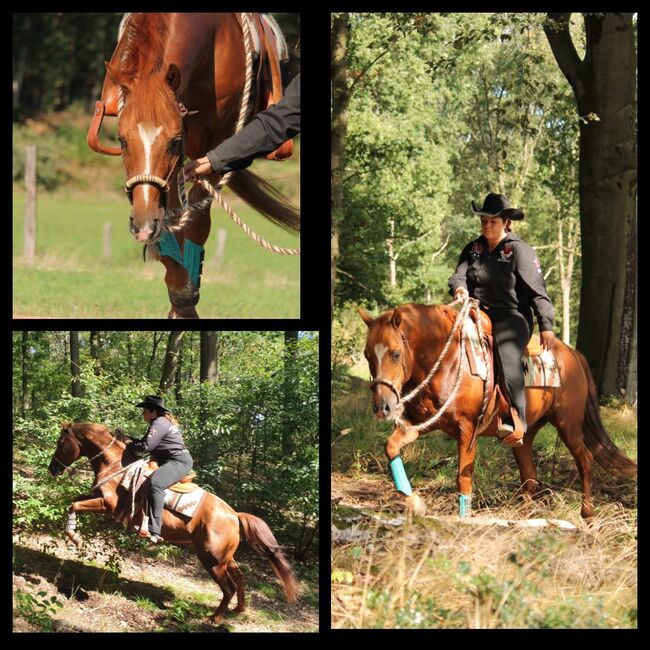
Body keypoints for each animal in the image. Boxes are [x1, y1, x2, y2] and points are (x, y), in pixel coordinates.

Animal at [47, 420, 296, 624]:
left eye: (60, 443)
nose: (53, 469)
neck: (117, 465)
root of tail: (235, 515)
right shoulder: (95, 497)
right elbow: (73, 501)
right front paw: (73, 534)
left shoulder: (106, 505)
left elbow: (74, 505)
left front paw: (75, 538)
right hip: (224, 558)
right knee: (240, 579)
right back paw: (238, 610)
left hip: (212, 560)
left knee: (229, 588)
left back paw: (215, 618)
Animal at [87, 13, 298, 318]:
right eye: (121, 140)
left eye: (174, 141)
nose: (142, 225)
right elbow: (170, 219)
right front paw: (177, 283)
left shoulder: (217, 143)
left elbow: (196, 220)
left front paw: (185, 299)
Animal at [356, 302, 636, 520]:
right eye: (367, 354)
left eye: (395, 353)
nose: (382, 407)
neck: (447, 359)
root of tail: (573, 353)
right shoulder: (421, 423)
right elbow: (391, 446)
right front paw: (414, 502)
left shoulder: (467, 430)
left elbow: (463, 478)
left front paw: (463, 519)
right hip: (525, 435)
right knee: (529, 475)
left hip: (568, 425)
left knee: (585, 460)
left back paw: (587, 514)